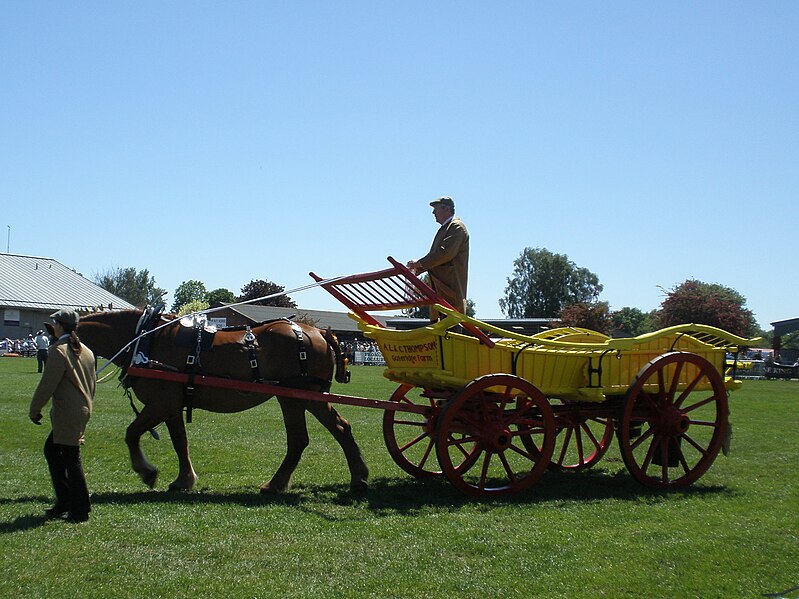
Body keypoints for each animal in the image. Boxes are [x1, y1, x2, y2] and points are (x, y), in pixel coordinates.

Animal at [75, 312, 368, 494]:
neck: (145, 339)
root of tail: (318, 331)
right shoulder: (172, 405)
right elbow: (180, 441)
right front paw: (184, 479)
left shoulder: (162, 402)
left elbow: (132, 432)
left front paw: (147, 471)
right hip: (299, 398)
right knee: (324, 432)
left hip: (299, 397)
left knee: (321, 434)